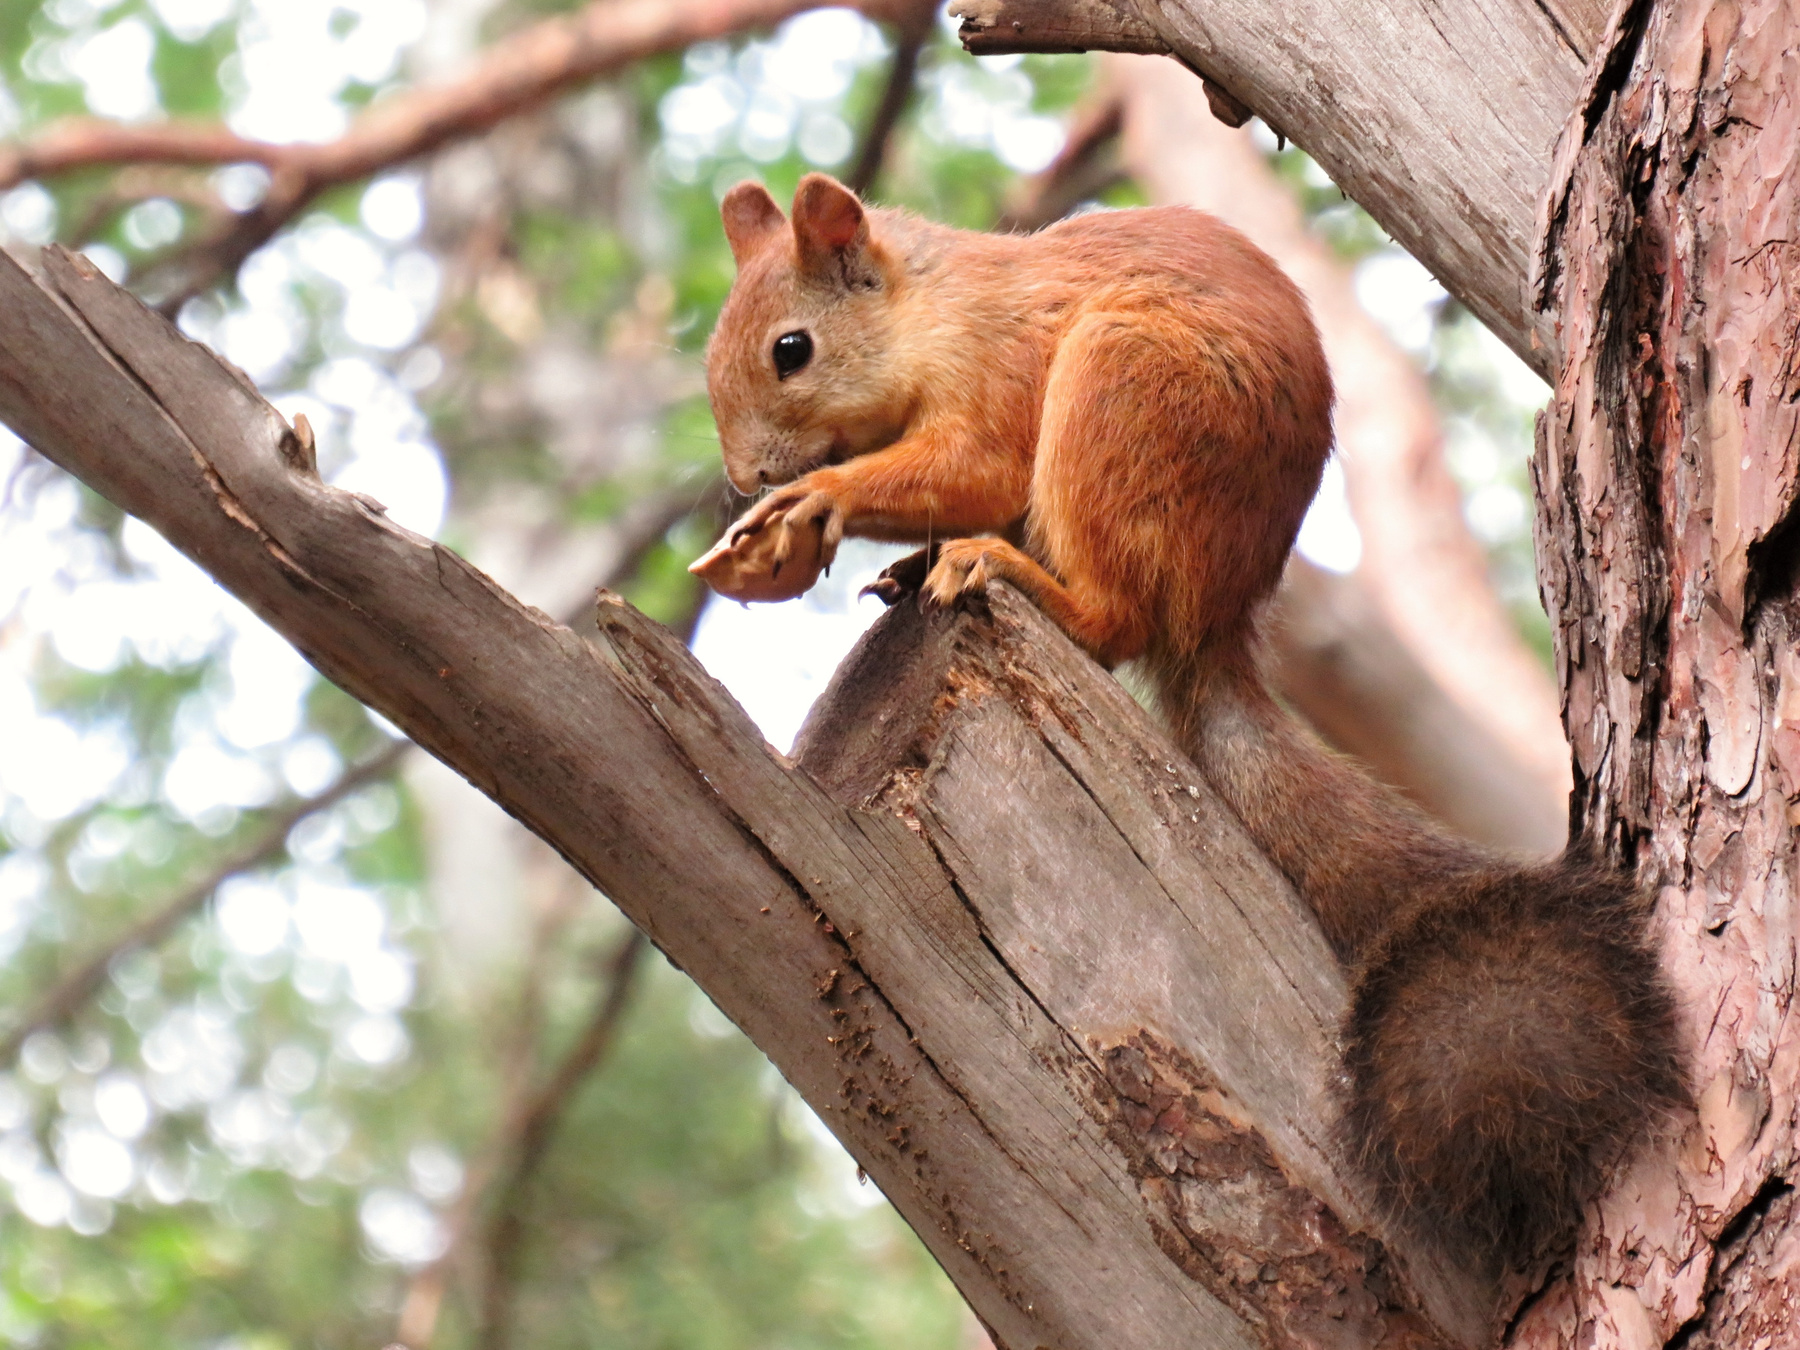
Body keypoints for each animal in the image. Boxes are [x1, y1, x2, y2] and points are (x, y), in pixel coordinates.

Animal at [691, 171, 1684, 1270]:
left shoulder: (994, 372)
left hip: (1124, 390)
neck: (925, 306)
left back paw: (1006, 571)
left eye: (791, 349)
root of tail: (1215, 618)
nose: (747, 478)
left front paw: (816, 498)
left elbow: (977, 464)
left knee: (1110, 619)